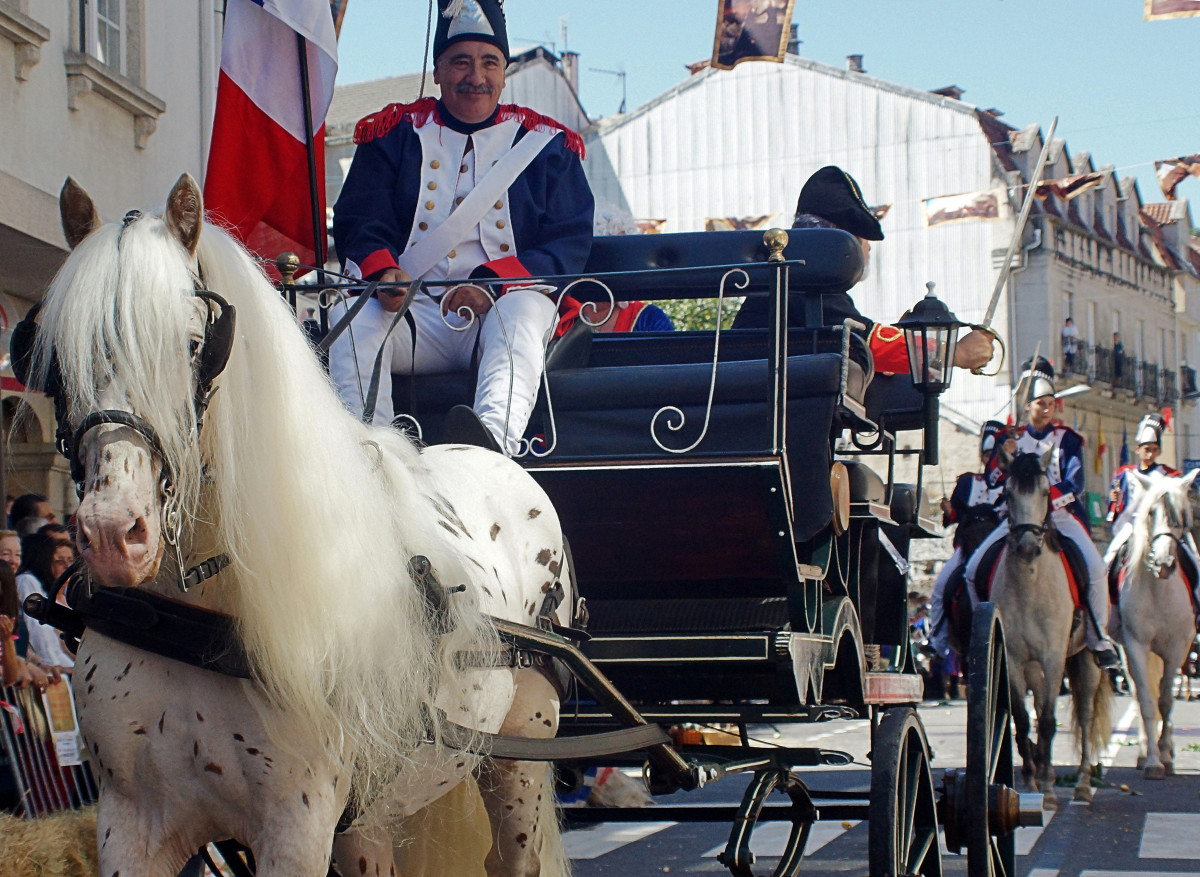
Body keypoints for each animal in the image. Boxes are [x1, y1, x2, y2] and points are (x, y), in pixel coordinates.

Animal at [12, 175, 576, 873]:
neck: (194, 611)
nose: (114, 533)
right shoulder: (129, 819)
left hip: (521, 750)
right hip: (370, 816)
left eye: (194, 346)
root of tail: (489, 448)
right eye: (56, 359)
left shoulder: (295, 825)